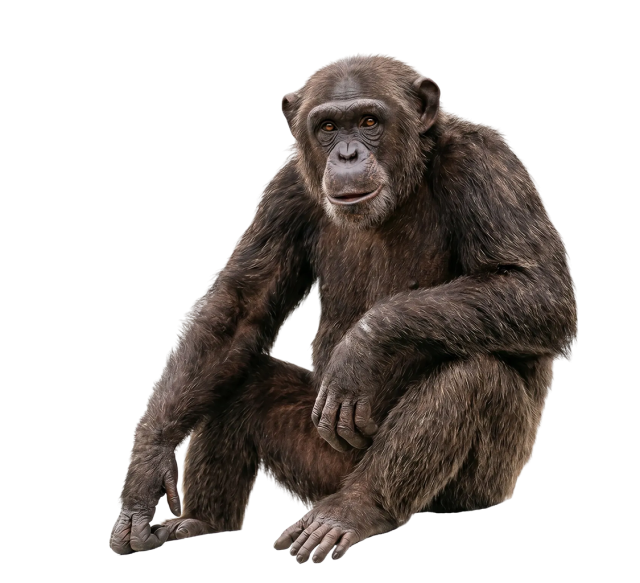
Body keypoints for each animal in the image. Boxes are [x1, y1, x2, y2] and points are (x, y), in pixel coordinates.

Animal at [109, 54, 578, 564]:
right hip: (322, 464)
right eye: (329, 127)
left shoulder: (487, 164)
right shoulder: (287, 188)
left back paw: (354, 510)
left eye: (369, 122)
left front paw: (363, 348)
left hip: (480, 485)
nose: (347, 155)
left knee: (472, 375)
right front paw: (146, 467)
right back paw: (202, 522)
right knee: (240, 379)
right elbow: (240, 305)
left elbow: (538, 288)